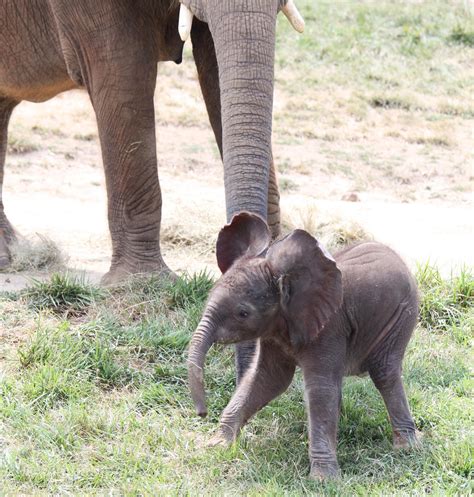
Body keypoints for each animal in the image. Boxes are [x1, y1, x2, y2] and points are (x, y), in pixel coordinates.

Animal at [187, 211, 420, 478]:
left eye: (243, 313)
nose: (202, 413)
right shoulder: (275, 329)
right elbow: (267, 378)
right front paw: (217, 445)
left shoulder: (330, 327)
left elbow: (319, 388)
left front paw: (323, 479)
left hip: (403, 315)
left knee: (384, 372)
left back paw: (407, 448)